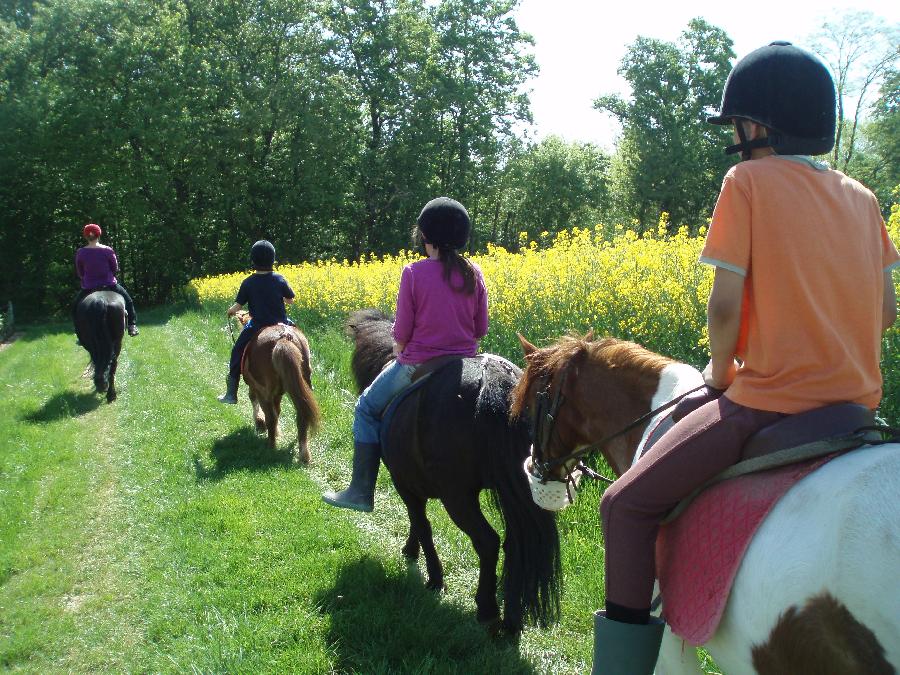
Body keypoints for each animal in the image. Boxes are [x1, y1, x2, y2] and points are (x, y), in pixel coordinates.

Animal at [236, 312, 320, 462]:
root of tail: (284, 337)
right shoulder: (278, 394)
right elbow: (278, 410)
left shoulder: (256, 388)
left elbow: (255, 401)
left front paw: (260, 423)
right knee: (301, 416)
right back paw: (304, 455)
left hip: (264, 392)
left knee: (270, 417)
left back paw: (271, 447)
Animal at [346, 308, 564, 636]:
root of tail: (494, 380)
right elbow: (417, 522)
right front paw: (411, 551)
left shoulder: (403, 483)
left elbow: (421, 523)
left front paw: (433, 578)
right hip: (519, 492)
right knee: (519, 545)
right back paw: (512, 621)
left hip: (458, 496)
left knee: (488, 542)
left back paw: (487, 609)